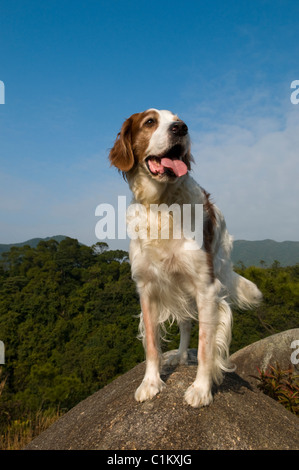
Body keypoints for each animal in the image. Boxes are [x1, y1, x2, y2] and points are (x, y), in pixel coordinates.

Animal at [108, 108, 262, 406]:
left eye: (178, 120)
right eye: (150, 122)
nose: (181, 128)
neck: (161, 206)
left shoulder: (206, 288)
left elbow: (205, 348)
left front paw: (201, 389)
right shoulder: (147, 289)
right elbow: (152, 345)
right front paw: (151, 382)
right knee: (185, 324)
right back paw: (179, 356)